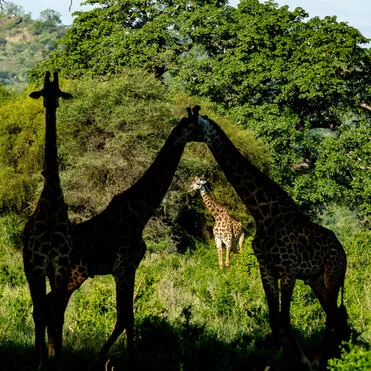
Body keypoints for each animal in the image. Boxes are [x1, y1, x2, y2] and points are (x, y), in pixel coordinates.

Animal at [187, 106, 350, 370]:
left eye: (191, 125)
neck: (262, 211)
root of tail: (344, 252)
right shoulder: (266, 269)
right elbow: (274, 317)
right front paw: (269, 361)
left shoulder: (287, 270)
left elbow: (284, 317)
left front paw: (301, 360)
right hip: (315, 278)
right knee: (332, 312)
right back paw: (335, 353)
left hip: (333, 273)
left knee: (333, 314)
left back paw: (319, 359)